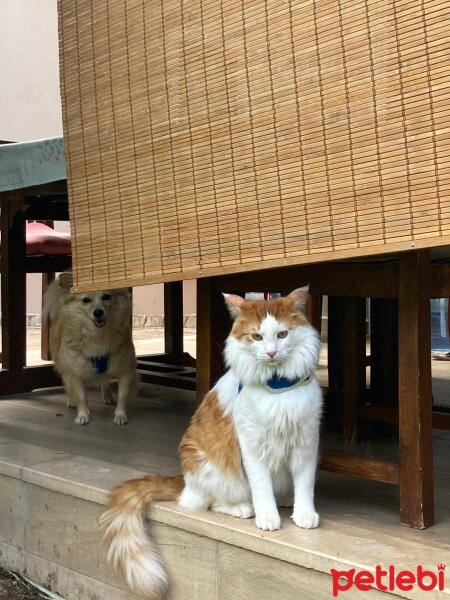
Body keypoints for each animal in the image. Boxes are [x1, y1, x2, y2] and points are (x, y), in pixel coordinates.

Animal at [44, 274, 139, 424]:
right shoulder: (75, 372)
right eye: (86, 300)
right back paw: (71, 400)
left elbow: (123, 396)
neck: (97, 334)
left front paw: (120, 415)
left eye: (106, 297)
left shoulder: (126, 370)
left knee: (104, 381)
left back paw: (107, 396)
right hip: (64, 367)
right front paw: (83, 415)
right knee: (67, 383)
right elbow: (81, 396)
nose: (98, 312)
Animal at [100, 290, 322, 596]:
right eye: (256, 337)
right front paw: (268, 517)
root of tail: (185, 480)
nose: (271, 352)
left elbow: (305, 486)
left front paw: (304, 514)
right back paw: (243, 508)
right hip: (213, 469)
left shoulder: (306, 441)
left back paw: (285, 499)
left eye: (282, 334)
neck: (277, 387)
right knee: (205, 503)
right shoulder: (252, 446)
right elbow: (262, 488)